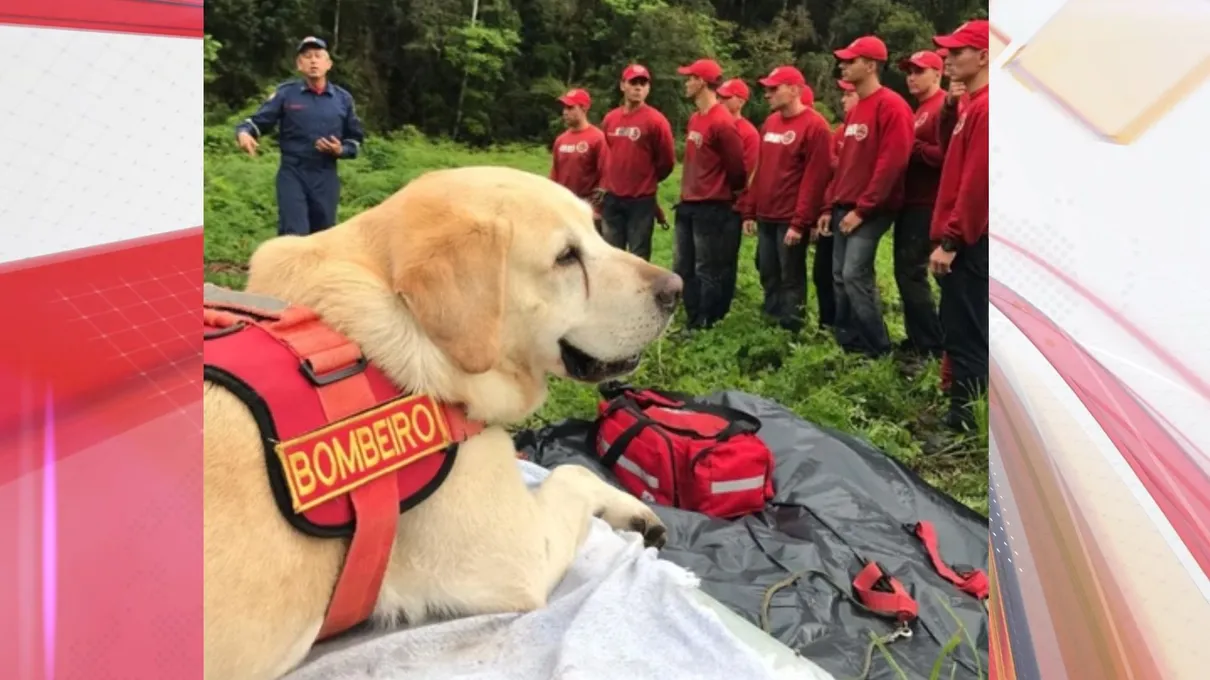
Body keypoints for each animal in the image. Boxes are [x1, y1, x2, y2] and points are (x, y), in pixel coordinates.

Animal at [203, 165, 687, 677]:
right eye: (565, 257)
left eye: (596, 232)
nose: (675, 288)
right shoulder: (521, 555)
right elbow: (572, 472)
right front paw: (632, 509)